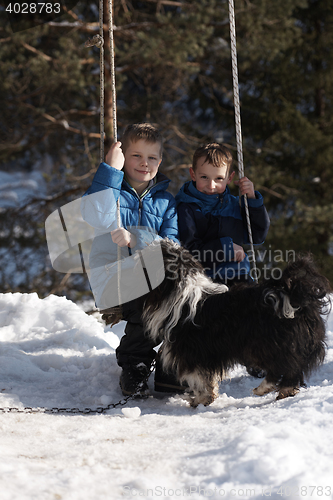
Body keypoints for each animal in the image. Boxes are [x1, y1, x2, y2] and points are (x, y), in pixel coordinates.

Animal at [141, 238, 330, 406]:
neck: (181, 290)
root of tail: (293, 296)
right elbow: (207, 378)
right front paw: (208, 397)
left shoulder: (192, 351)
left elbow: (199, 378)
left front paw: (200, 400)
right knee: (291, 369)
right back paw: (284, 391)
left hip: (265, 345)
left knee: (283, 367)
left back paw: (264, 388)